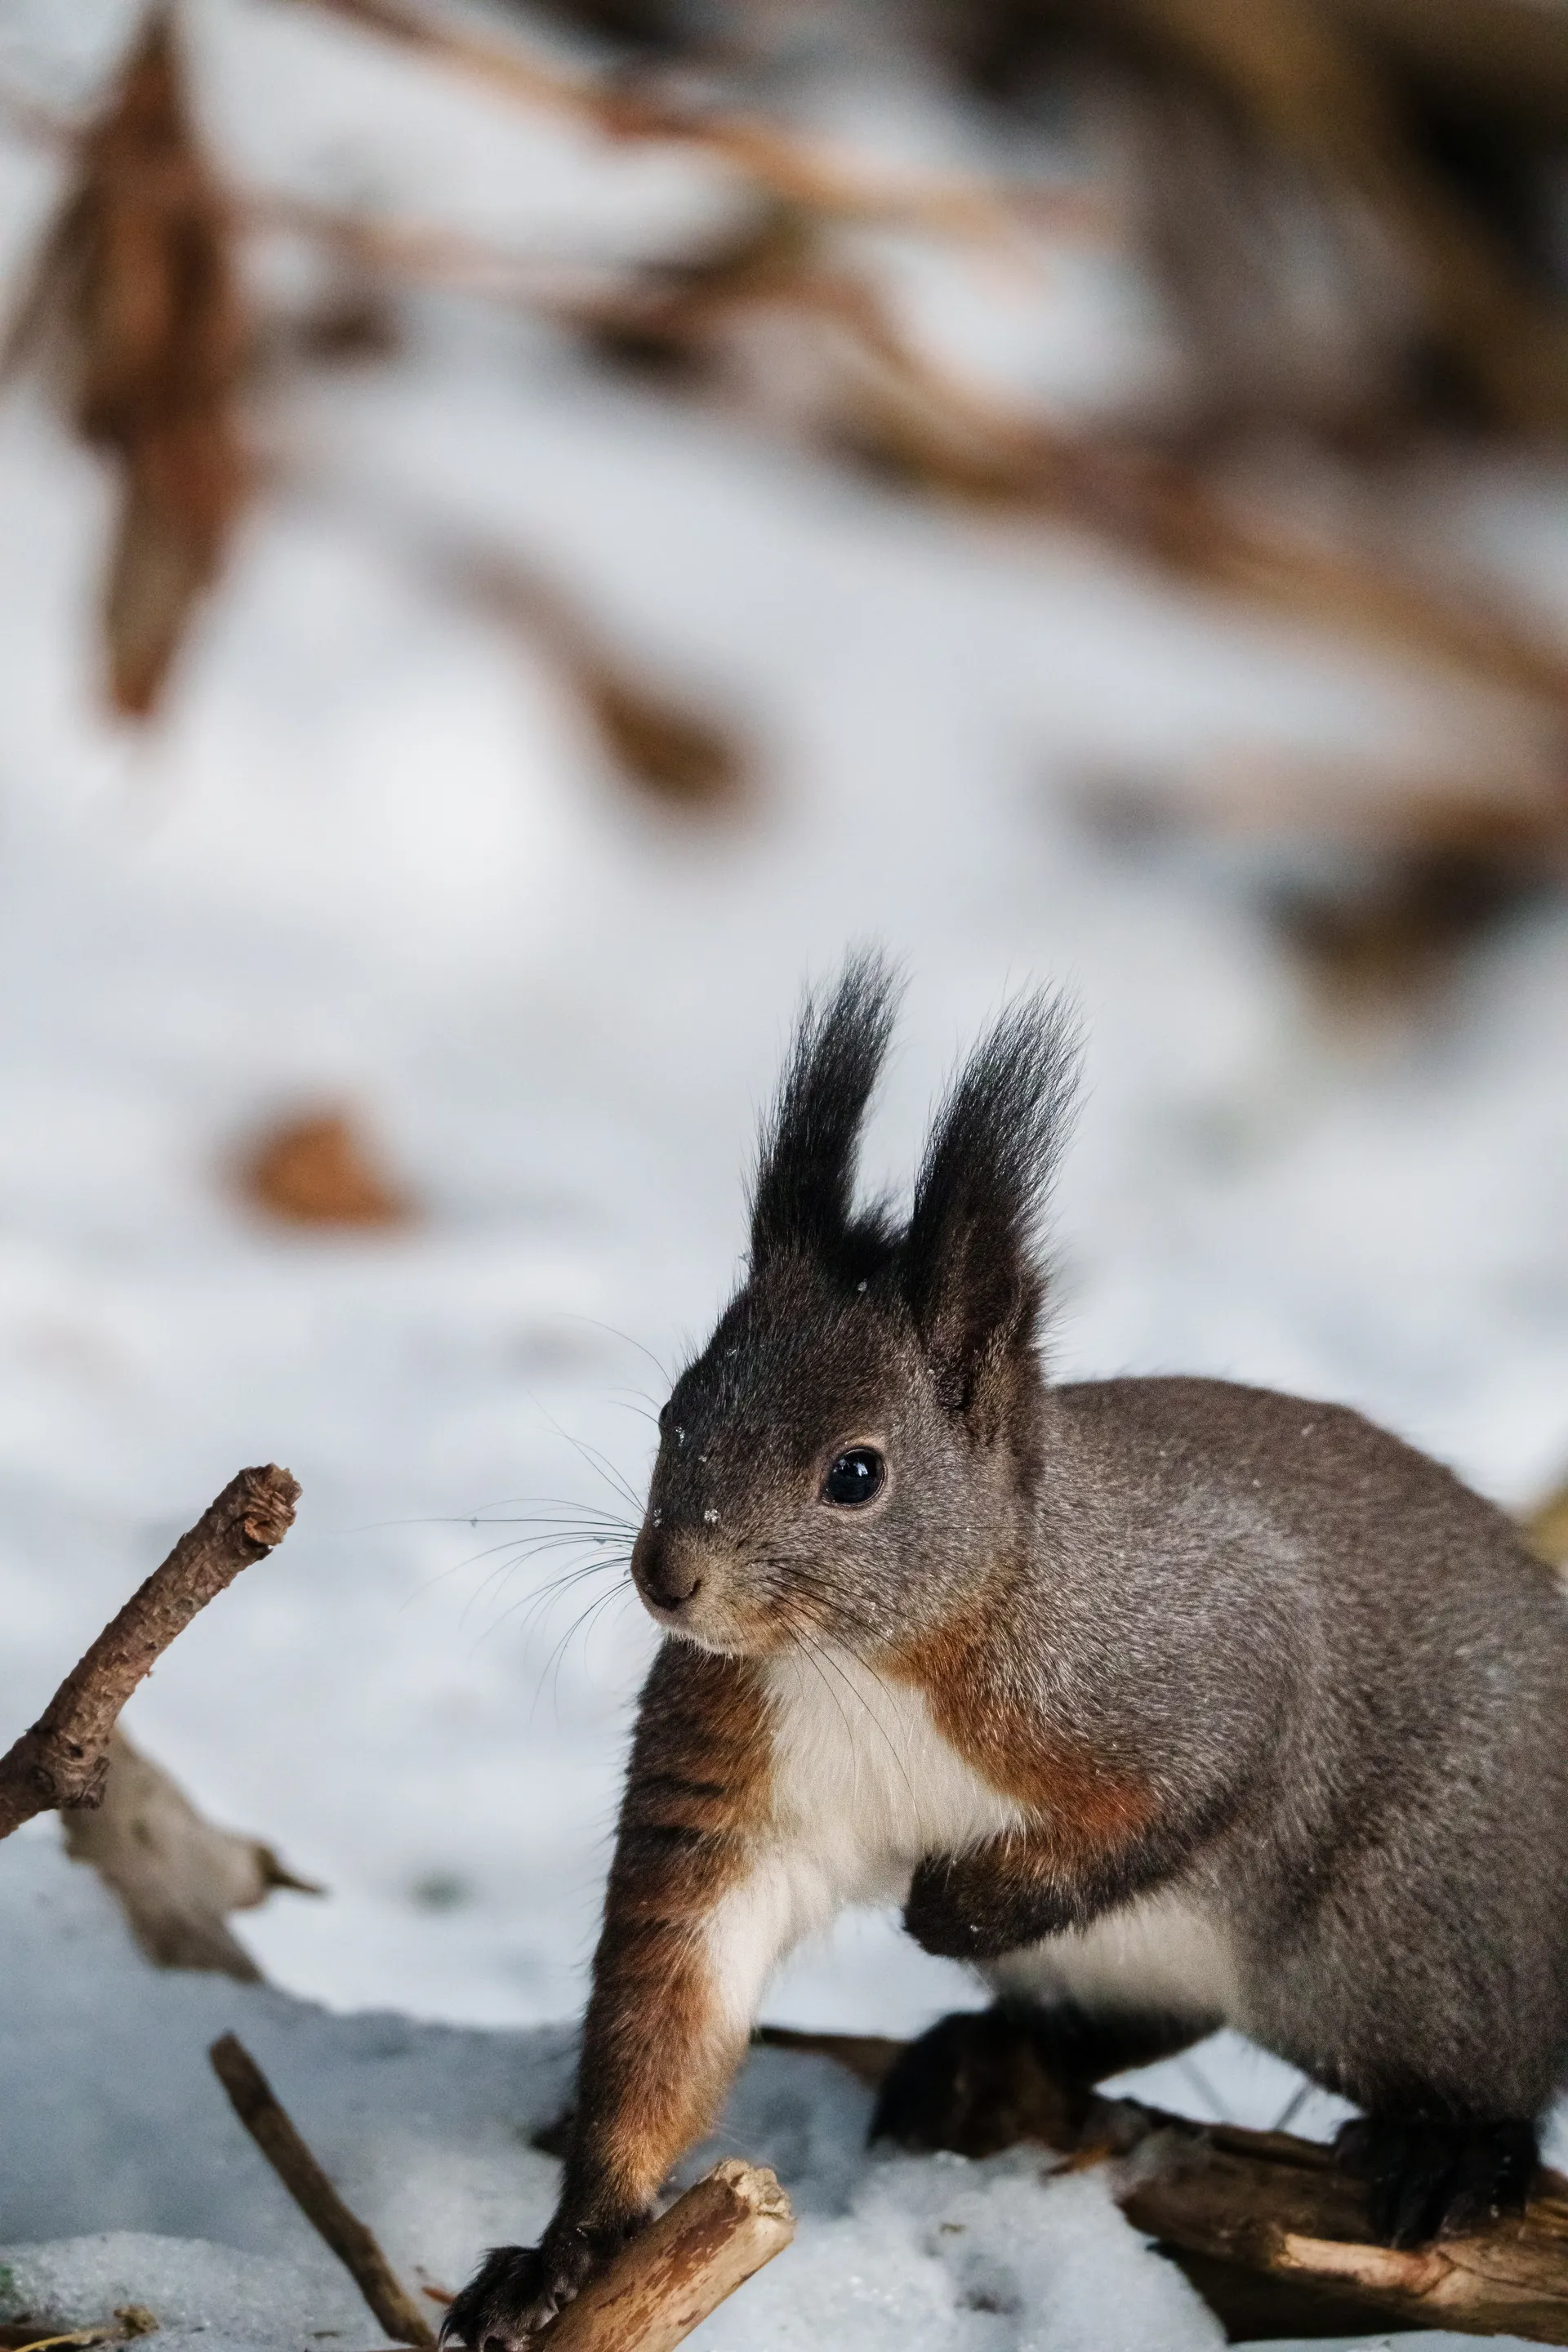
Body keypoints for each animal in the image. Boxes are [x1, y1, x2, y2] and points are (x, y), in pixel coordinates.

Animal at [445, 953, 1568, 2351]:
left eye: (856, 1473)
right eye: (671, 1413)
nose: (669, 1577)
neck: (870, 1657)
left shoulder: (1196, 1659)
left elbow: (1191, 1787)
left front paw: (955, 1905)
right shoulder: (731, 1783)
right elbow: (673, 2006)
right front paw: (566, 2254)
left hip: (1413, 1929)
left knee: (1493, 2073)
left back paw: (1450, 2152)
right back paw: (981, 2063)